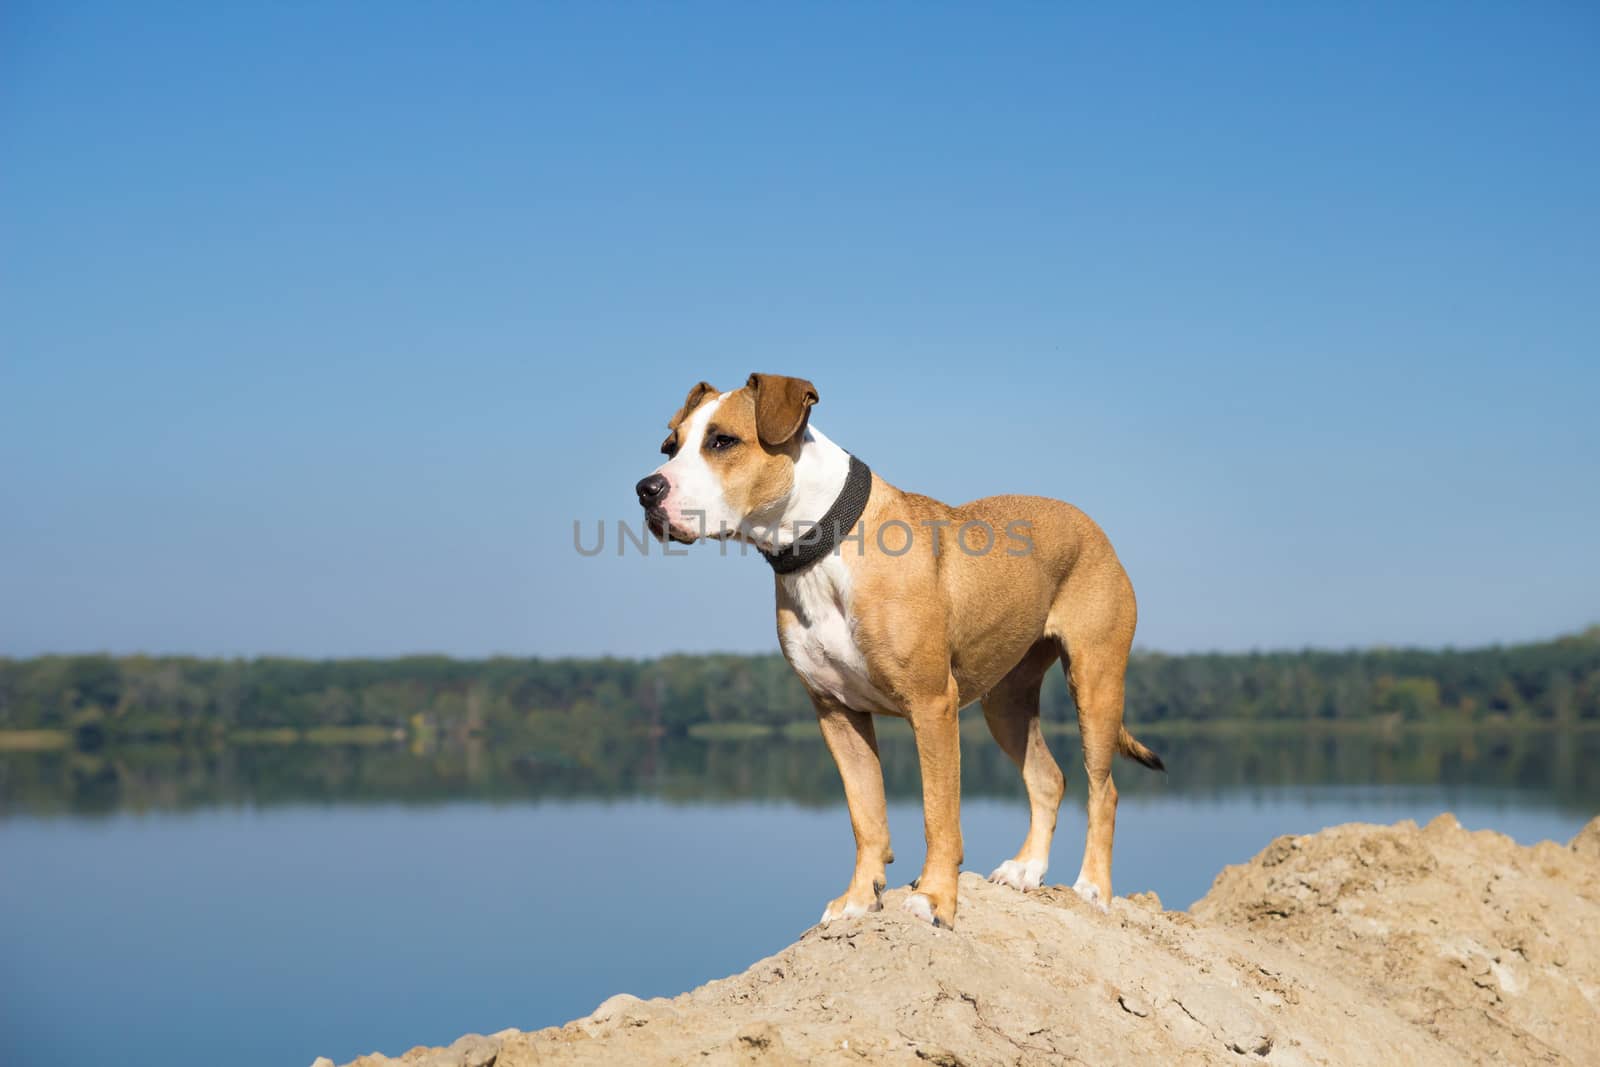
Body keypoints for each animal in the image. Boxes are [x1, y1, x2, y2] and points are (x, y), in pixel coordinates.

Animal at [636, 379, 1164, 927]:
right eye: (670, 446)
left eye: (722, 441)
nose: (646, 489)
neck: (822, 546)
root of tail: (1090, 524)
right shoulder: (836, 713)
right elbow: (866, 815)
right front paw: (857, 898)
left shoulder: (932, 705)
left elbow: (938, 813)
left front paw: (935, 898)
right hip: (1006, 701)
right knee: (1047, 777)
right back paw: (1026, 869)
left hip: (1095, 682)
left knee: (1104, 790)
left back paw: (1093, 888)